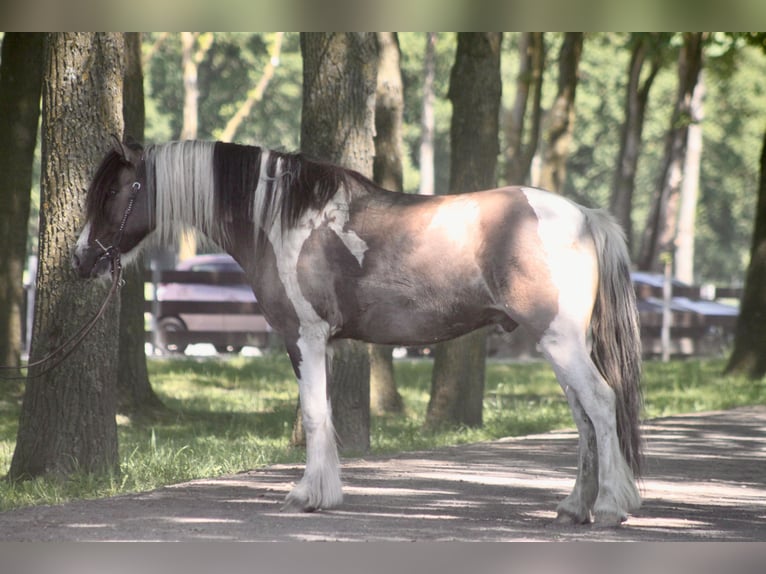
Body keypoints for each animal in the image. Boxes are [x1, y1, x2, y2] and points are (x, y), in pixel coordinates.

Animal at [73, 139, 643, 526]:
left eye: (113, 191)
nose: (80, 260)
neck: (283, 222)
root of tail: (584, 216)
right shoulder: (319, 342)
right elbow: (322, 413)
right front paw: (322, 493)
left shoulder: (303, 337)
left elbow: (313, 414)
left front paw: (307, 495)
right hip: (558, 345)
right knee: (584, 417)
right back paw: (573, 506)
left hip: (560, 341)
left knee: (600, 403)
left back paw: (610, 507)